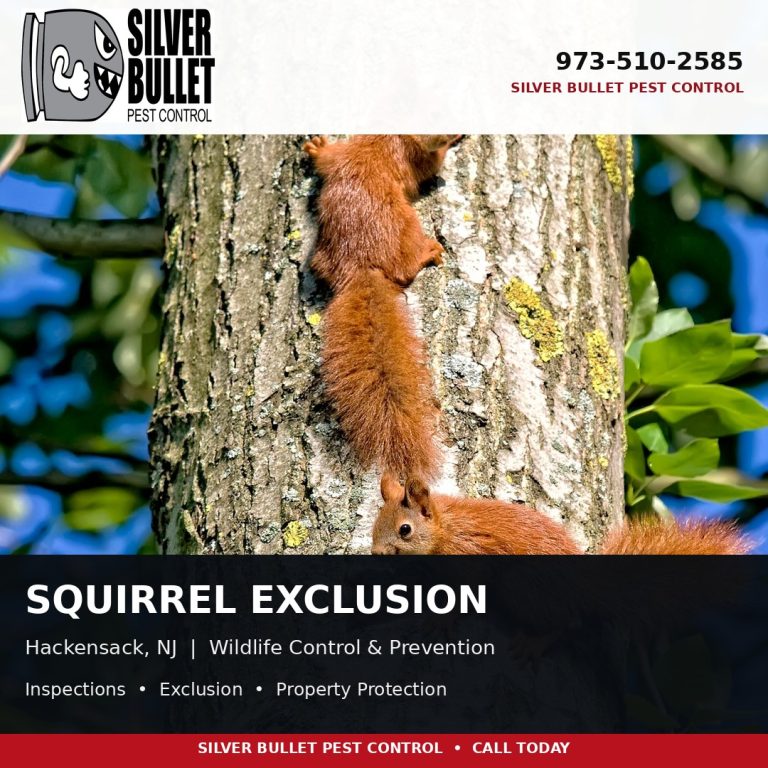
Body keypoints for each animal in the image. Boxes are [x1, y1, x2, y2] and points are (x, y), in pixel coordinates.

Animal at [304, 135, 460, 481]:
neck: (382, 138)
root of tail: (362, 267)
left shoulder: (345, 152)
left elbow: (327, 159)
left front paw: (316, 147)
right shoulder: (415, 157)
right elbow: (433, 165)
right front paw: (451, 146)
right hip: (406, 227)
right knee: (405, 267)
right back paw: (429, 253)